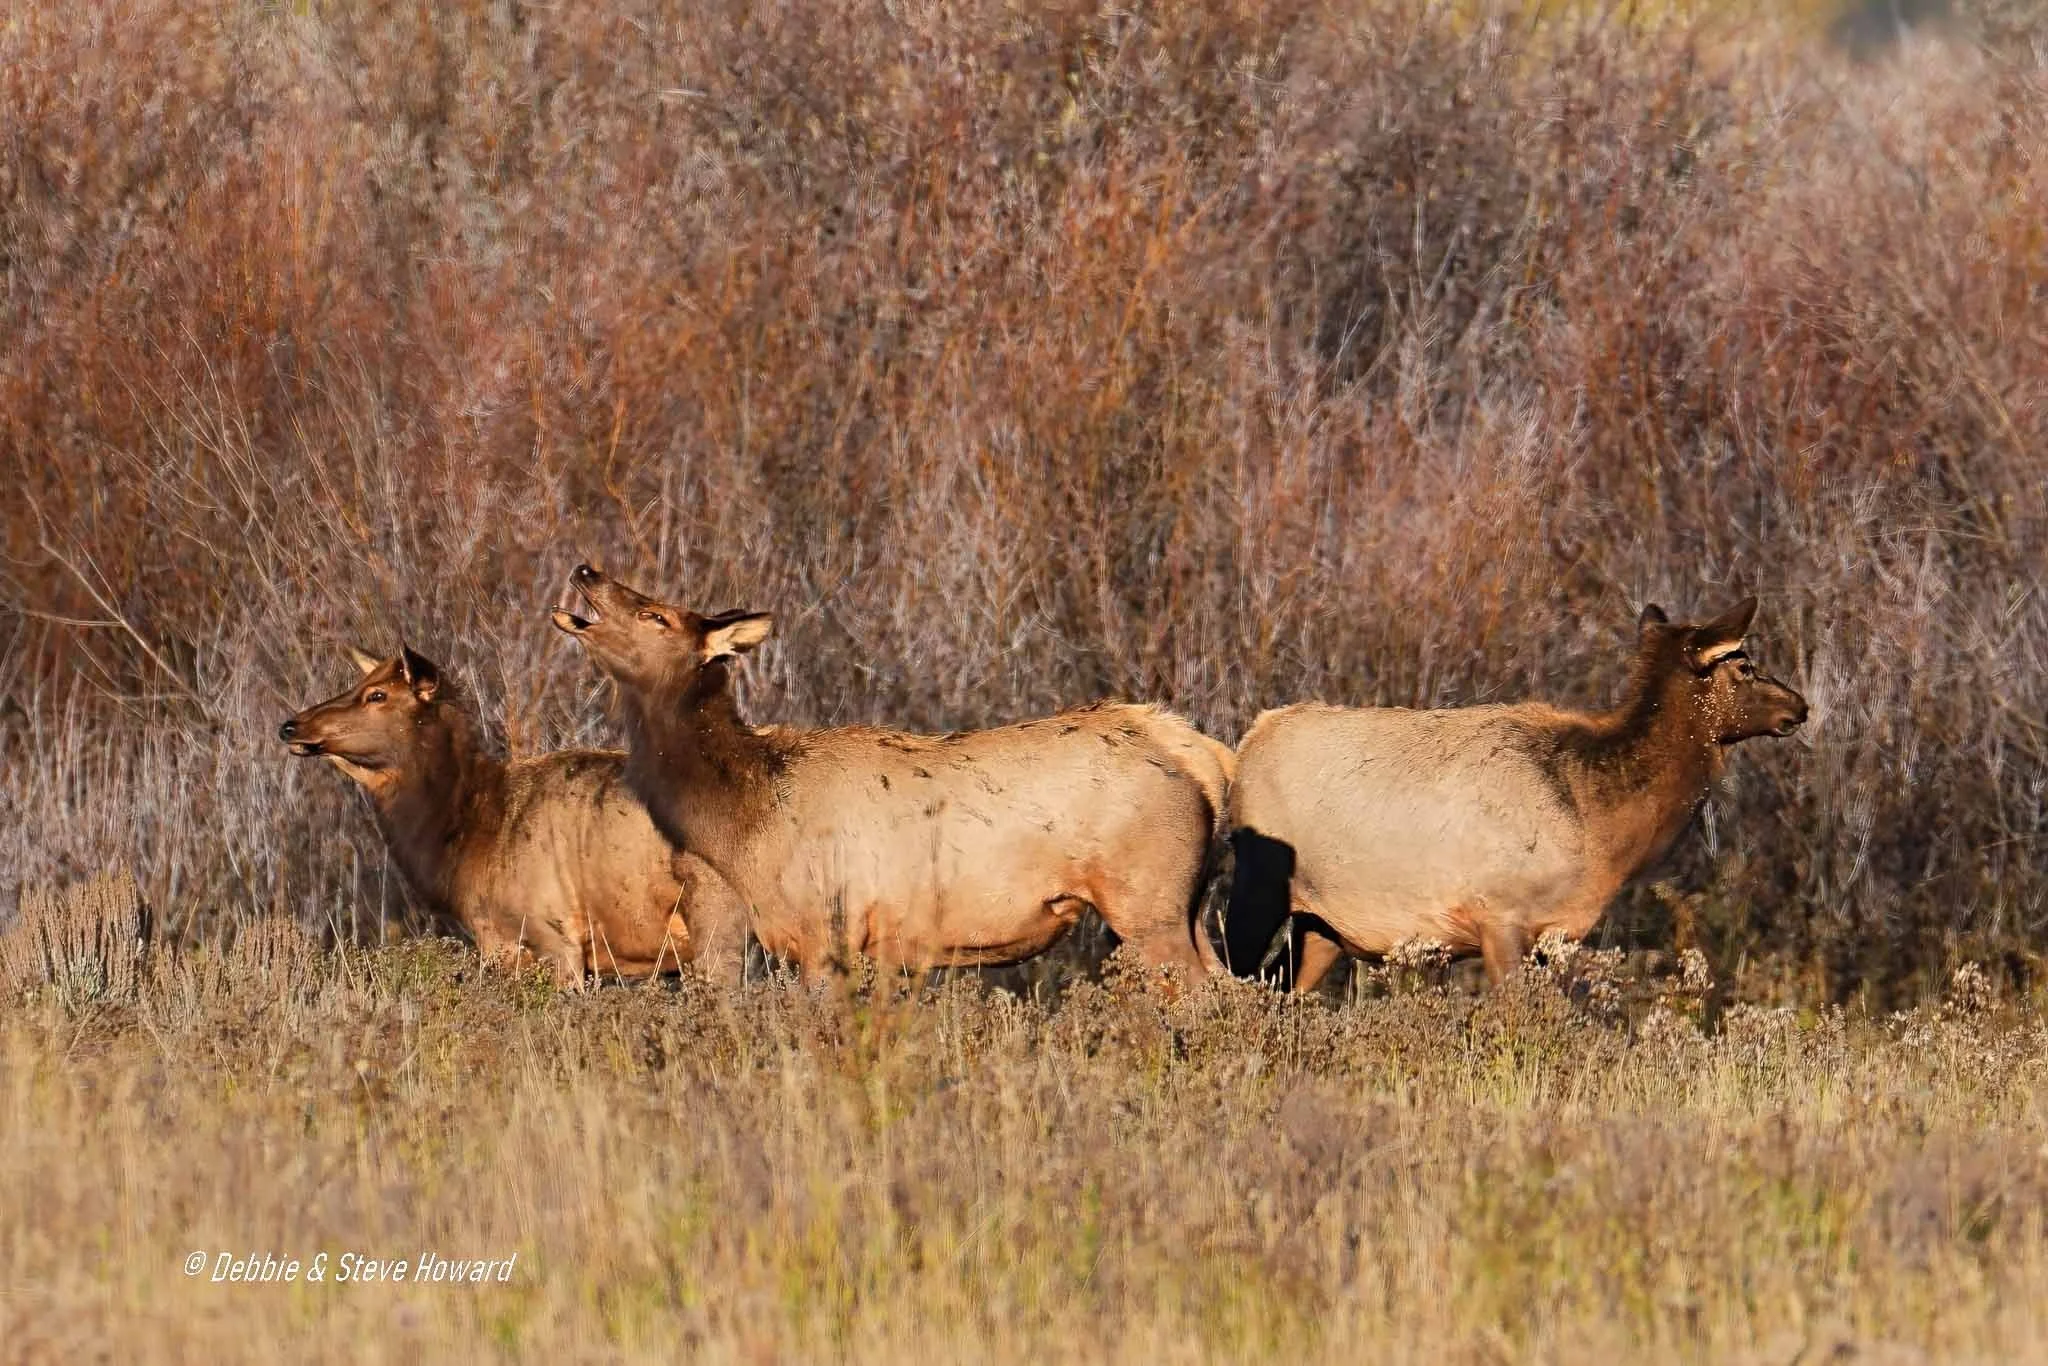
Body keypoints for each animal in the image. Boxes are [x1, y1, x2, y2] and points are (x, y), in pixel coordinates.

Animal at [550, 564, 1225, 983]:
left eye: (657, 617)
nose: (586, 571)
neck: (746, 820)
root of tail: (1198, 751)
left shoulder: (826, 932)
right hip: (1186, 906)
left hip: (1148, 900)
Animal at [1223, 598, 1808, 990]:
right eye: (1745, 665)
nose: (1799, 706)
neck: (1601, 826)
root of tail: (1249, 740)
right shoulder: (1500, 914)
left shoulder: (1560, 932)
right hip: (1260, 883)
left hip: (1322, 924)